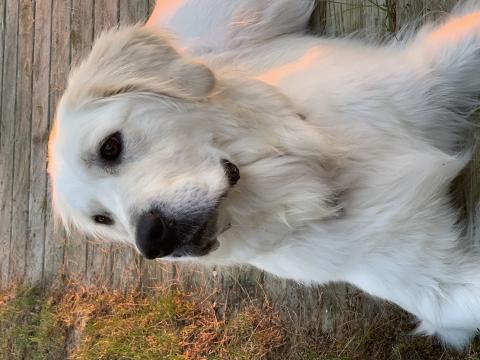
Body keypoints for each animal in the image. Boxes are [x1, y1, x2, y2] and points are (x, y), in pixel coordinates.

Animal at [47, 0, 480, 348]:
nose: (153, 241)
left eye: (110, 147)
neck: (319, 173)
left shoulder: (430, 72)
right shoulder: (438, 286)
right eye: (102, 219)